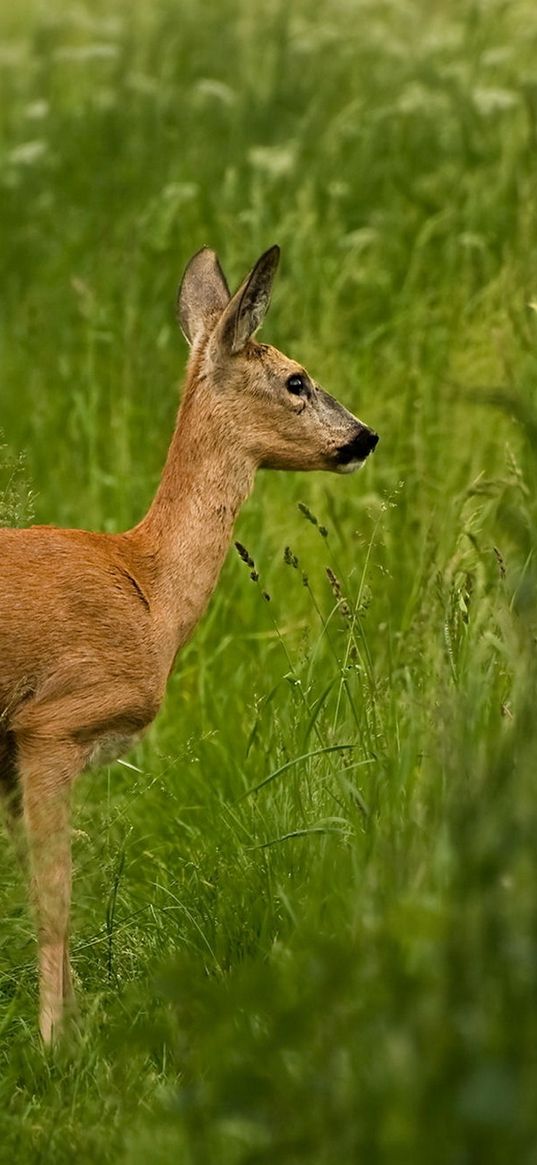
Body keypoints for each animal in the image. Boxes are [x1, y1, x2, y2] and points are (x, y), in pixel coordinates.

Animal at [1, 243, 377, 1039]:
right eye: (296, 379)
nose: (365, 436)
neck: (149, 591)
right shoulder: (50, 722)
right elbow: (54, 896)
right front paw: (56, 1042)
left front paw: (78, 1021)